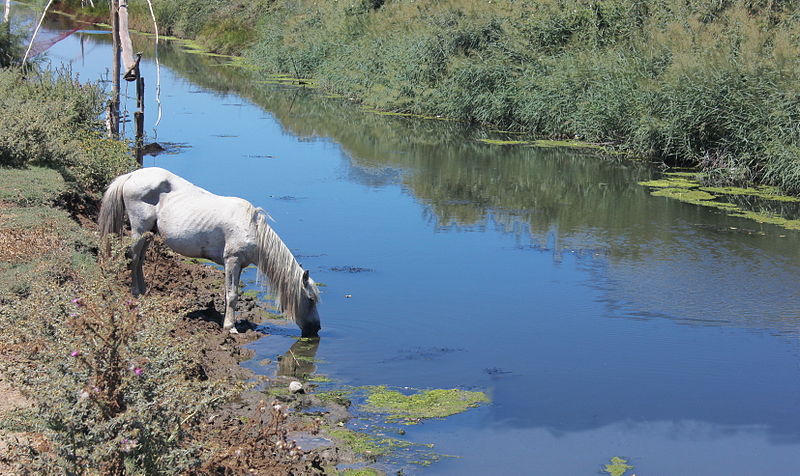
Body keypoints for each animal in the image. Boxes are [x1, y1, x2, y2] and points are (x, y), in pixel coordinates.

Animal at [99, 167, 322, 338]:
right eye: (310, 299)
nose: (316, 328)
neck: (252, 229)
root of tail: (131, 175)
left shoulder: (238, 265)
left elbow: (230, 293)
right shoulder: (232, 261)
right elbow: (232, 295)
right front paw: (230, 327)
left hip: (149, 233)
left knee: (140, 259)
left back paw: (144, 292)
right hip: (139, 229)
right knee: (134, 257)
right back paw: (136, 294)